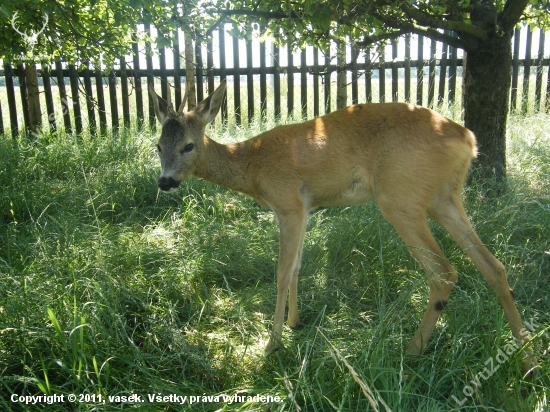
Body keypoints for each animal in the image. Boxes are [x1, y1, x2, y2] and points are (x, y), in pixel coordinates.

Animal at [148, 79, 540, 374]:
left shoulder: (289, 203)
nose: (165, 182)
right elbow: (297, 267)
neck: (250, 165)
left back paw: (411, 352)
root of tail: (467, 138)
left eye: (188, 145)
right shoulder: (304, 209)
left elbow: (282, 271)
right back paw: (528, 360)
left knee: (444, 271)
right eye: (157, 145)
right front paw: (294, 323)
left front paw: (271, 345)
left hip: (400, 196)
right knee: (493, 266)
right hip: (444, 196)